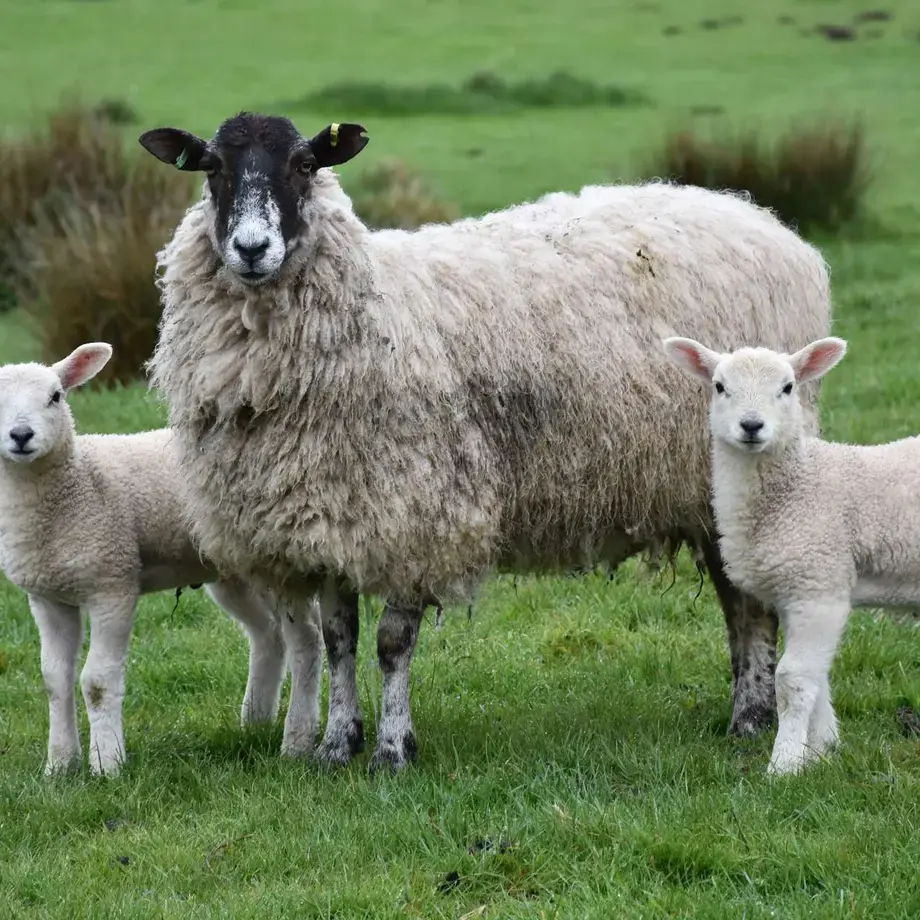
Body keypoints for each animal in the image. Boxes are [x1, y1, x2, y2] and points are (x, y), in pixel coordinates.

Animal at [0, 343, 323, 776]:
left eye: (56, 397)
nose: (21, 436)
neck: (76, 486)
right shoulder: (48, 597)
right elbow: (54, 679)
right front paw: (60, 766)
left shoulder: (113, 584)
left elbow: (97, 681)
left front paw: (107, 765)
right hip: (234, 573)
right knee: (269, 635)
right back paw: (255, 721)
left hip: (275, 560)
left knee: (306, 639)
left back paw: (297, 738)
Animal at [139, 111, 833, 773]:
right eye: (211, 168)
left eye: (305, 164)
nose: (251, 248)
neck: (375, 308)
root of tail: (764, 221)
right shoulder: (332, 518)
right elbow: (340, 641)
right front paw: (337, 744)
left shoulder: (416, 512)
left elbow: (392, 644)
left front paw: (393, 751)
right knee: (737, 598)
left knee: (746, 603)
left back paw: (750, 717)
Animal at [661, 333, 920, 775]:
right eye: (719, 386)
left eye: (787, 387)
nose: (751, 425)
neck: (800, 483)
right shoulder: (793, 589)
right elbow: (817, 676)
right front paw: (819, 753)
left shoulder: (818, 584)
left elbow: (792, 679)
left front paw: (784, 765)